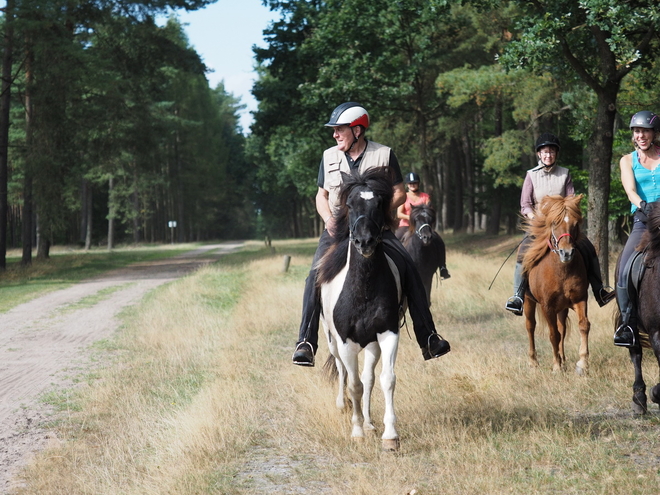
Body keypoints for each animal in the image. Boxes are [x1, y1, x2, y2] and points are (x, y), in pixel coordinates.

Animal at [316, 165, 402, 452]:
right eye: (350, 204)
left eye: (379, 203)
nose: (365, 242)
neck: (364, 288)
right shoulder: (346, 341)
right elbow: (353, 384)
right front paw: (356, 432)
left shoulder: (388, 334)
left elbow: (386, 379)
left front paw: (389, 435)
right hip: (332, 340)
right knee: (344, 372)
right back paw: (344, 407)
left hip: (372, 344)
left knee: (369, 378)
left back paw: (369, 422)